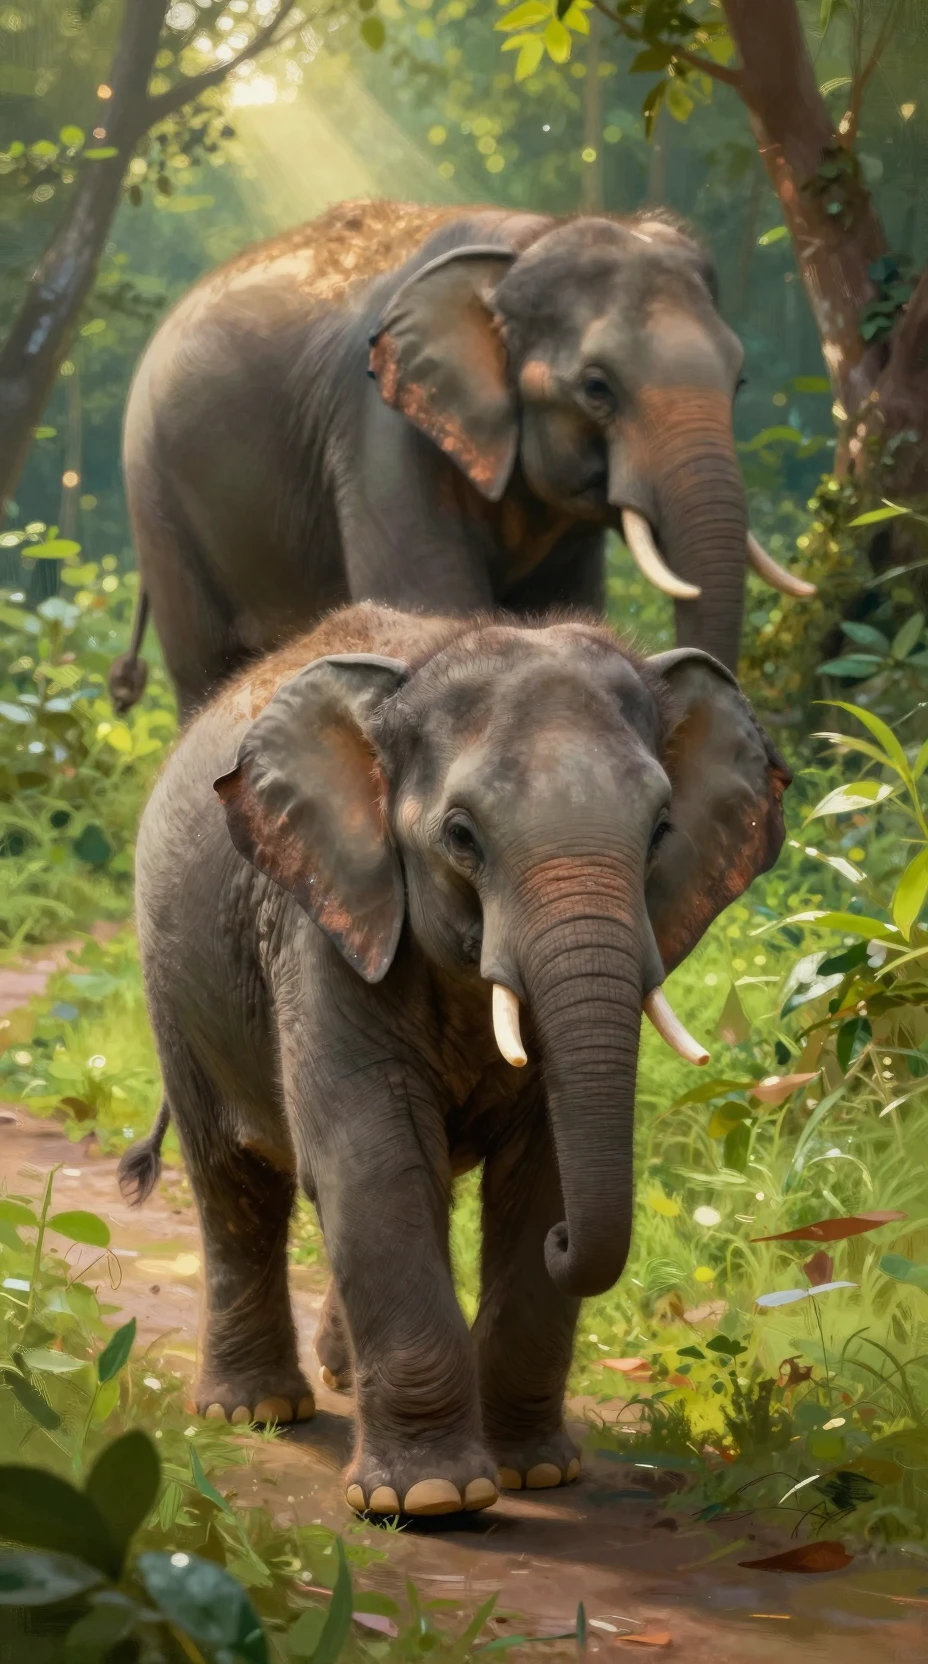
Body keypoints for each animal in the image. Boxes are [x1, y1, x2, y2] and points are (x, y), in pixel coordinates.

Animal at [111, 199, 814, 720]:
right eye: (597, 388)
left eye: (739, 381)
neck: (521, 244)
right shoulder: (382, 431)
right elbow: (430, 608)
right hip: (157, 499)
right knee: (205, 668)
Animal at [119, 598, 790, 1518]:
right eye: (462, 837)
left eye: (660, 832)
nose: (567, 1245)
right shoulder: (324, 930)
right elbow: (374, 1162)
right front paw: (432, 1501)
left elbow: (540, 1173)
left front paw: (534, 1474)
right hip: (175, 981)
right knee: (233, 1179)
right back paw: (255, 1412)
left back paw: (336, 1378)